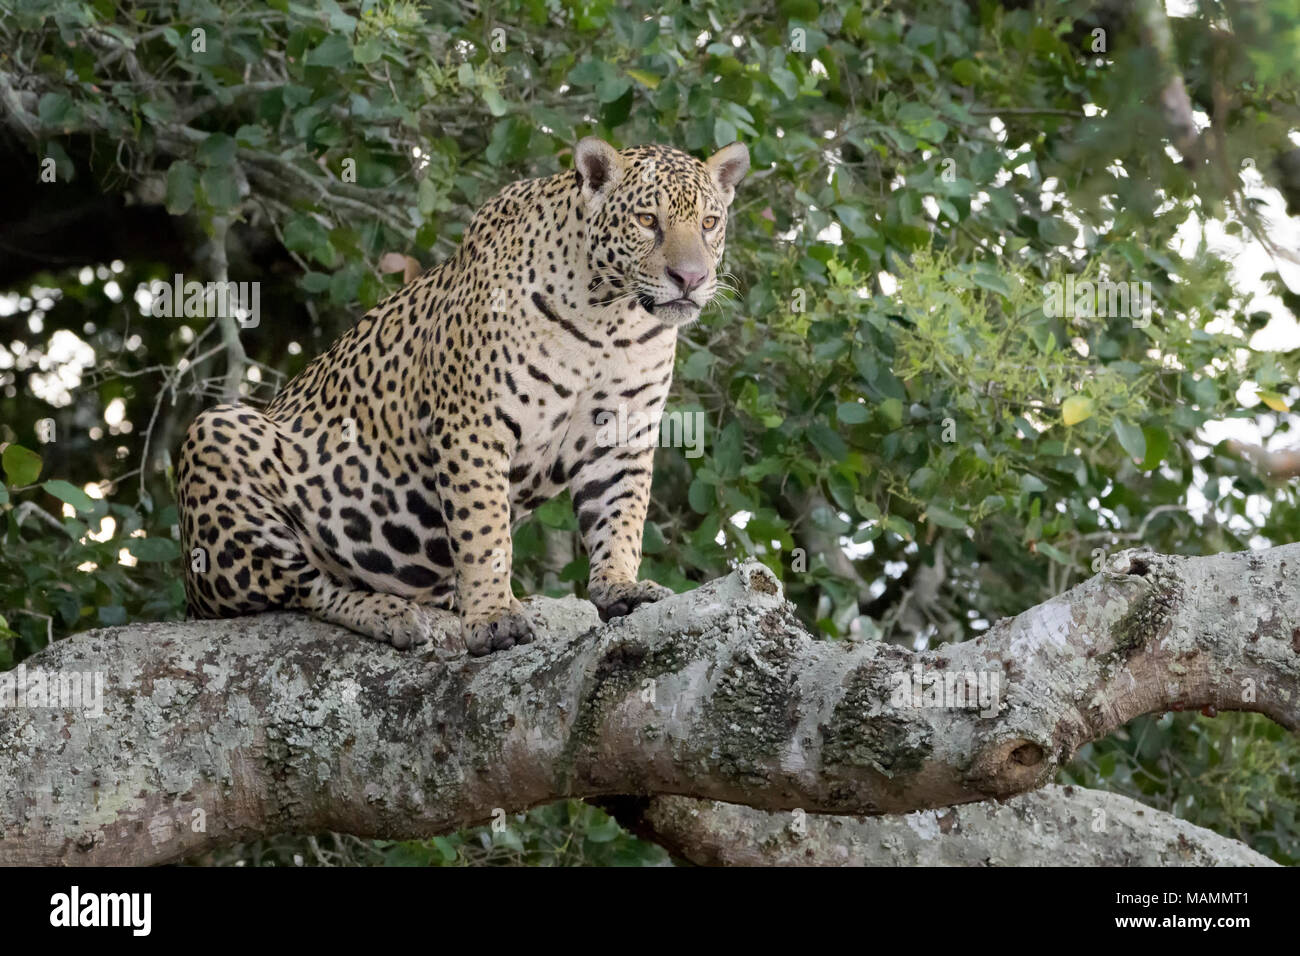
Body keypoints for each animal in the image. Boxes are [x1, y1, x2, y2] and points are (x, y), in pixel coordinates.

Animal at [176, 138, 749, 656]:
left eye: (709, 223)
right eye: (648, 220)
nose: (690, 278)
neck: (612, 321)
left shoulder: (622, 433)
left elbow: (621, 517)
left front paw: (620, 588)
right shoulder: (474, 425)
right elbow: (484, 532)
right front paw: (494, 617)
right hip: (216, 440)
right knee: (304, 586)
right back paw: (390, 613)